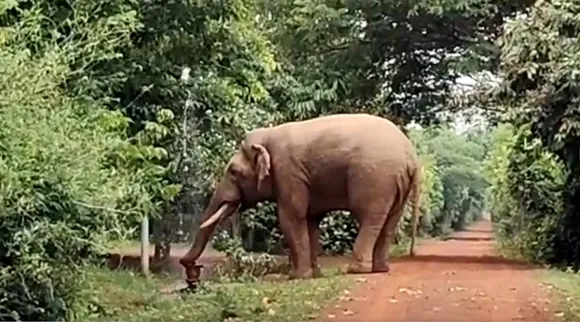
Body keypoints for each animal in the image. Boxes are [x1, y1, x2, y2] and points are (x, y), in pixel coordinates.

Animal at [179, 113, 424, 280]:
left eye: (233, 172)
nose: (189, 267)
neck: (267, 135)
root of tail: (411, 155)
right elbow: (310, 220)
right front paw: (314, 274)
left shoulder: (288, 171)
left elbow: (291, 217)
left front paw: (298, 276)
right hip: (396, 184)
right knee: (391, 221)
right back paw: (380, 269)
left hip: (375, 179)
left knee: (368, 218)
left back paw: (356, 270)